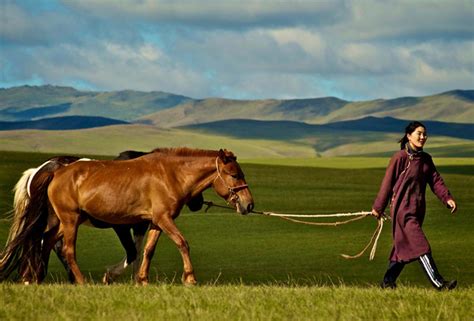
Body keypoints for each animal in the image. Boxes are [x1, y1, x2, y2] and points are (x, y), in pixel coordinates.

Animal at [2, 146, 252, 284]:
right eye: (234, 174)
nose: (249, 204)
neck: (169, 175)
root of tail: (55, 172)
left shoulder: (155, 222)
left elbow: (147, 251)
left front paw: (141, 280)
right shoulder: (159, 219)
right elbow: (181, 243)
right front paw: (190, 278)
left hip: (64, 221)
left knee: (46, 242)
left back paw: (36, 278)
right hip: (70, 220)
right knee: (65, 250)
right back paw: (80, 281)